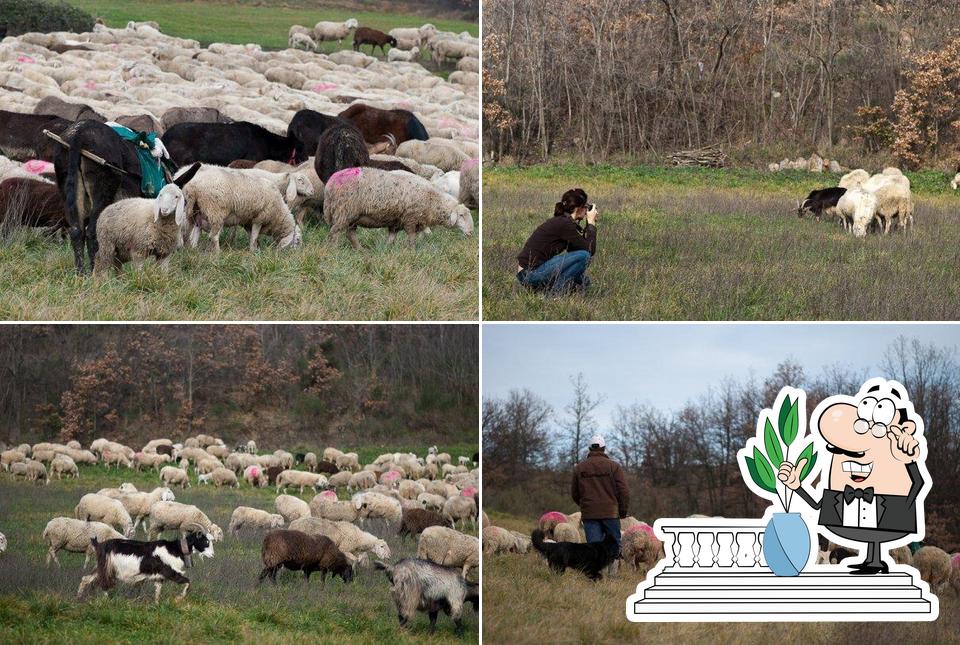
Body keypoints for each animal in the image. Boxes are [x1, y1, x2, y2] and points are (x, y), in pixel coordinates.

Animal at [78, 524, 214, 600]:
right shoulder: (171, 572)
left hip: (100, 567)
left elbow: (157, 593)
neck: (176, 549)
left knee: (86, 579)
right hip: (107, 568)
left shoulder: (159, 578)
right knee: (102, 583)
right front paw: (179, 598)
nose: (212, 555)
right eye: (206, 541)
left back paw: (79, 598)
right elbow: (188, 582)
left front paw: (157, 606)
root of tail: (99, 544)